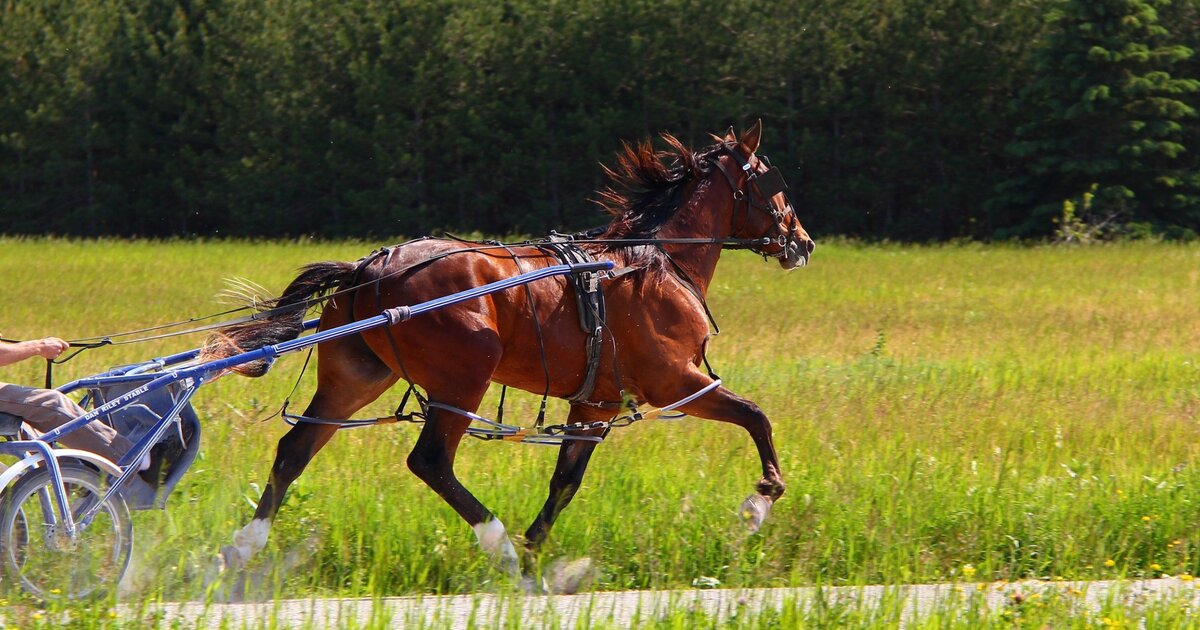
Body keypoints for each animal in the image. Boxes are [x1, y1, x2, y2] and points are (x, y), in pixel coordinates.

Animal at [204, 121, 814, 586]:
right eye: (773, 181)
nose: (803, 242)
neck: (654, 262)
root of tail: (369, 268)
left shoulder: (596, 404)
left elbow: (565, 483)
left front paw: (536, 553)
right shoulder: (675, 382)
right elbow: (756, 417)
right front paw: (760, 502)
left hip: (357, 376)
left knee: (294, 451)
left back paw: (241, 550)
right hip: (463, 376)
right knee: (430, 462)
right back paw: (497, 545)